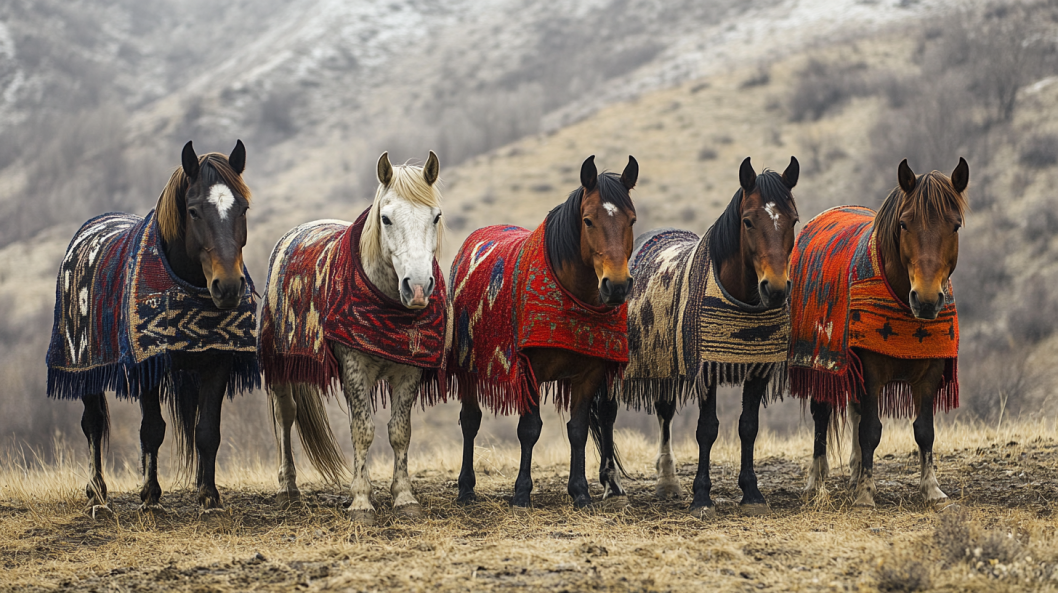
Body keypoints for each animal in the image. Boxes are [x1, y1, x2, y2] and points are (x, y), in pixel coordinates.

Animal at [47, 139, 258, 514]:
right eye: (193, 211)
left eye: (243, 208)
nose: (229, 287)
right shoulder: (149, 365)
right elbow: (152, 429)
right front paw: (150, 495)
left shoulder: (218, 361)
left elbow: (207, 431)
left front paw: (209, 496)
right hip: (85, 367)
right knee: (92, 423)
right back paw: (97, 492)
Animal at [264, 149, 450, 523]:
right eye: (386, 218)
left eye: (436, 216)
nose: (418, 287)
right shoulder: (354, 369)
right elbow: (362, 431)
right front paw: (362, 501)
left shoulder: (409, 370)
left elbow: (400, 432)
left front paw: (404, 497)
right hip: (282, 366)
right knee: (285, 415)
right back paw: (287, 488)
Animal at [452, 155, 639, 508]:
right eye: (588, 221)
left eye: (632, 220)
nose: (617, 286)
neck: (570, 296)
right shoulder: (530, 370)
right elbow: (529, 428)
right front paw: (521, 492)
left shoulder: (590, 373)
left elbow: (577, 429)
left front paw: (580, 491)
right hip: (466, 367)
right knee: (470, 421)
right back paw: (466, 487)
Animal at [600, 155, 795, 516]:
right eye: (748, 221)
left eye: (793, 219)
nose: (775, 290)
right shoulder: (706, 371)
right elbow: (707, 429)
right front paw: (702, 497)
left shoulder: (758, 369)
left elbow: (748, 427)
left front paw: (752, 494)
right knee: (606, 413)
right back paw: (612, 488)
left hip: (663, 363)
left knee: (664, 412)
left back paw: (667, 482)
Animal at [795, 158, 969, 510]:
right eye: (904, 224)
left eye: (955, 226)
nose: (926, 300)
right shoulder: (871, 372)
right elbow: (871, 431)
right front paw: (865, 494)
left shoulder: (930, 373)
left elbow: (924, 431)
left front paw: (932, 489)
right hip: (824, 365)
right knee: (822, 414)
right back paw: (817, 481)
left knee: (855, 412)